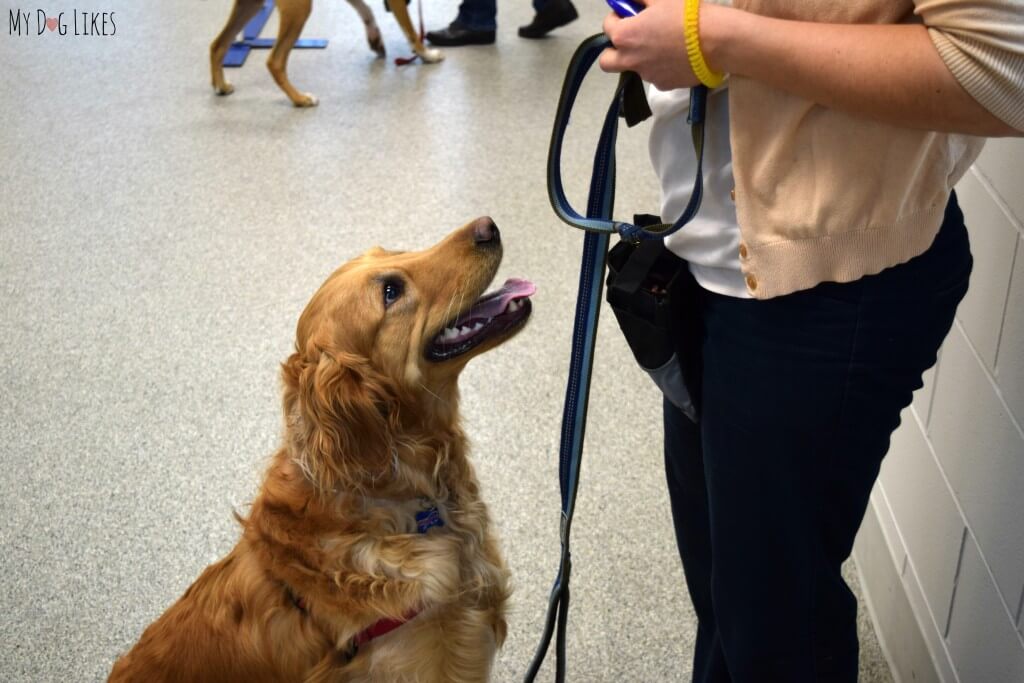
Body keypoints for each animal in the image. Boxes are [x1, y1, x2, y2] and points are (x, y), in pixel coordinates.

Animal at [209, 0, 442, 107]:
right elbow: (412, 33)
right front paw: (427, 55)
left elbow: (365, 9)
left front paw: (374, 38)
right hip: (298, 9)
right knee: (275, 61)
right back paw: (300, 99)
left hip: (251, 3)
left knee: (217, 45)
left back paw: (221, 86)